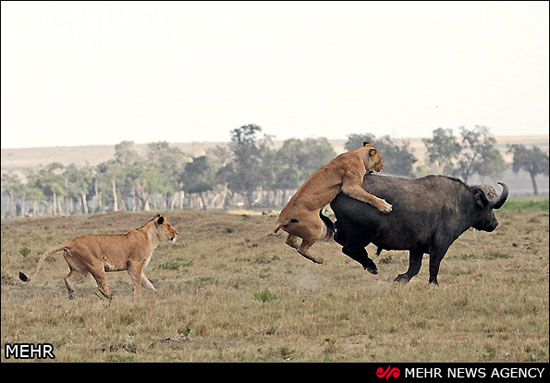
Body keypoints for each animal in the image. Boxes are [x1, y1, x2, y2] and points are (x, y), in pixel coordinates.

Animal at [330, 175, 512, 284]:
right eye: (489, 207)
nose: (494, 224)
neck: (462, 203)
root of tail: (339, 193)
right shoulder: (441, 245)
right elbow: (434, 265)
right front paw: (434, 283)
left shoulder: (416, 248)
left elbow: (414, 268)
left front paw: (401, 278)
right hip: (364, 234)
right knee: (349, 249)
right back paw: (371, 265)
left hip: (345, 231)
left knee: (341, 242)